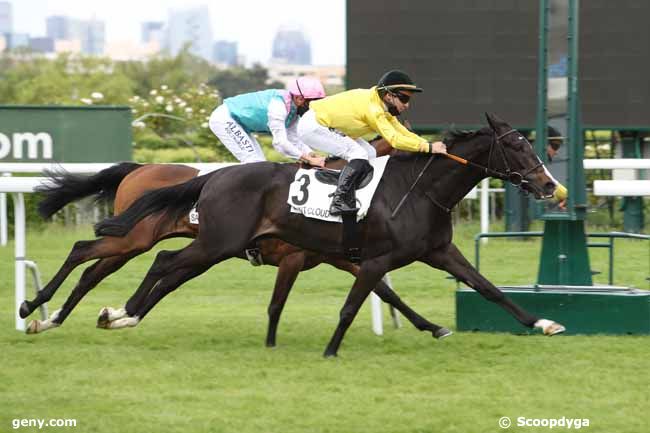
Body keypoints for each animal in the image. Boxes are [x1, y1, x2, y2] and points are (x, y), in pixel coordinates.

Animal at [20, 137, 450, 346]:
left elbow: (386, 292)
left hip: (156, 245)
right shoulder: (298, 258)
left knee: (94, 272)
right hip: (137, 239)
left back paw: (54, 318)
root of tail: (138, 168)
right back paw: (33, 308)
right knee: (85, 255)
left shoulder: (336, 257)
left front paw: (431, 326)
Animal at [93, 113, 564, 356]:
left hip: (215, 245)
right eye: (517, 146)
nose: (549, 186)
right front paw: (331, 350)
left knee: (166, 268)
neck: (419, 189)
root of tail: (214, 177)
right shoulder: (372, 260)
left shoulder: (438, 251)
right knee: (162, 262)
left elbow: (488, 288)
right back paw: (121, 313)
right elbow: (350, 307)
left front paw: (543, 322)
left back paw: (122, 314)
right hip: (217, 242)